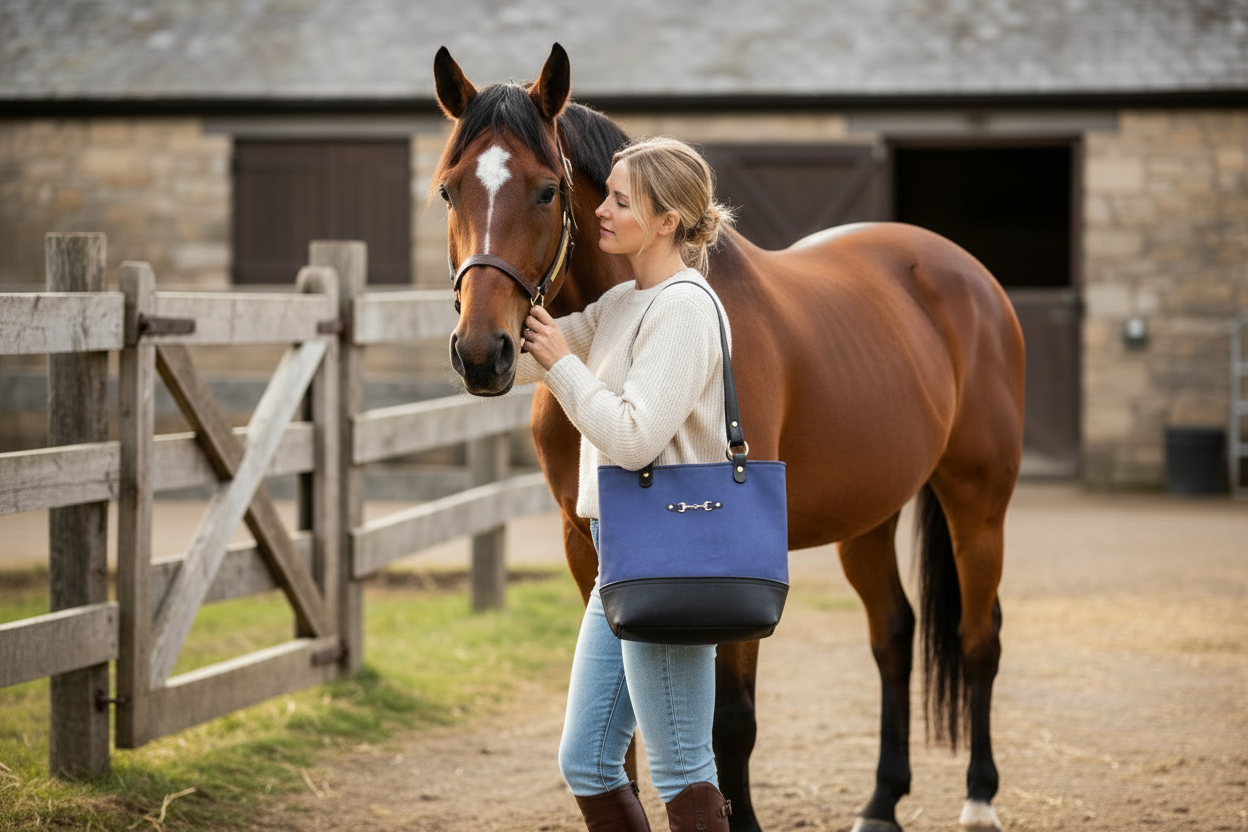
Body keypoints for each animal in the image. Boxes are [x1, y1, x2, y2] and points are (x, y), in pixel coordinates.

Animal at [432, 43, 1025, 832]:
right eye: (448, 191)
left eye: (546, 191)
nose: (482, 353)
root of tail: (968, 275)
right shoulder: (585, 548)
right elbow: (620, 747)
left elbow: (731, 723)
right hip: (868, 517)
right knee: (893, 638)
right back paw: (881, 801)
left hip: (977, 502)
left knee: (978, 638)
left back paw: (980, 796)